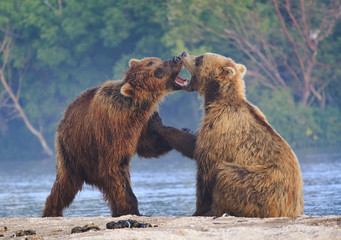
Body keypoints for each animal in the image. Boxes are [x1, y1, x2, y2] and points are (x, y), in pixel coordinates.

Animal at [42, 54, 195, 218]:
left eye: (156, 60)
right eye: (157, 70)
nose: (176, 58)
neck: (135, 107)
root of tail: (63, 118)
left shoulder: (140, 125)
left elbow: (149, 146)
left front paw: (182, 131)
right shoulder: (115, 127)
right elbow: (116, 165)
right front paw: (133, 210)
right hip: (73, 151)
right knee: (65, 184)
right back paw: (51, 211)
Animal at [175, 52, 302, 218]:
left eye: (200, 58)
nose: (184, 54)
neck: (216, 101)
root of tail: (291, 209)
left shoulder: (220, 130)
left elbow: (206, 171)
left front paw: (200, 210)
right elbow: (194, 146)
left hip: (261, 183)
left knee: (226, 175)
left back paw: (216, 209)